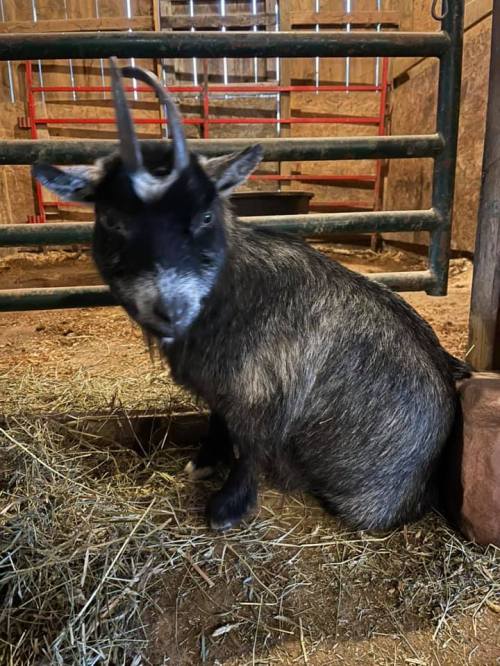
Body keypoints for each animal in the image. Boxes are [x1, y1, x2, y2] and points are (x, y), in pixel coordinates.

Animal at [33, 58, 470, 532]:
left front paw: (227, 507)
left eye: (206, 214)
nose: (170, 308)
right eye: (112, 219)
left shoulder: (261, 393)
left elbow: (252, 447)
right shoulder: (225, 388)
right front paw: (205, 462)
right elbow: (217, 418)